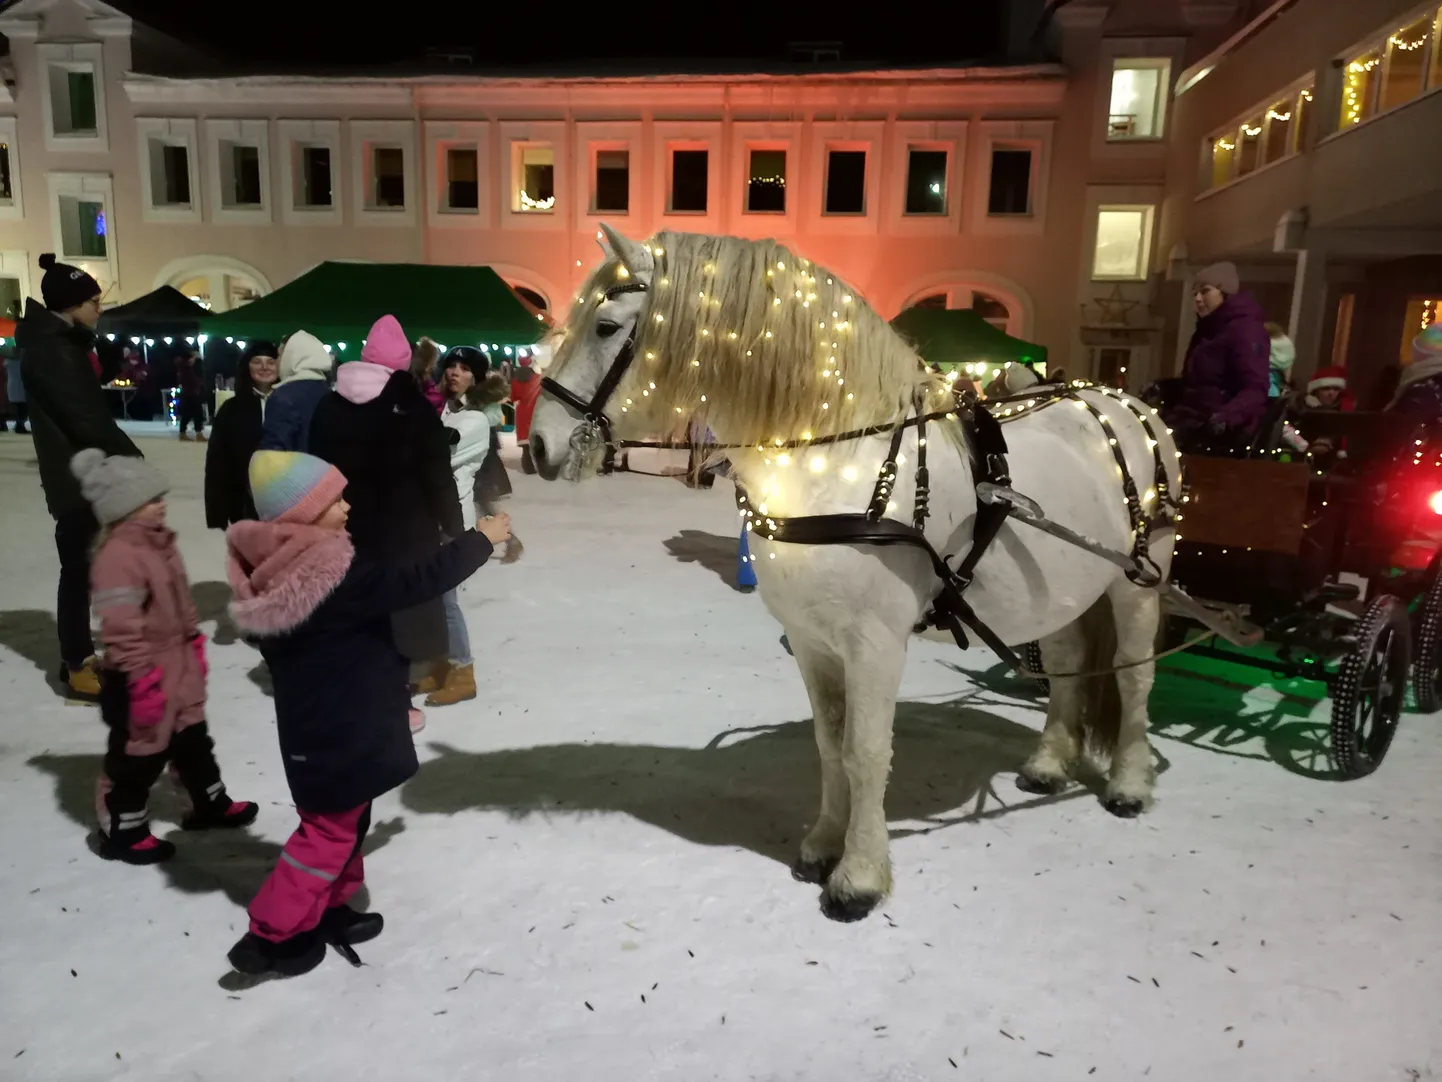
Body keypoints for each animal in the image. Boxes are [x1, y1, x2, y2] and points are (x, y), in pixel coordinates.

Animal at [536, 226, 1176, 923]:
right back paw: (1049, 763)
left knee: (1135, 678)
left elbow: (866, 752)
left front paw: (859, 876)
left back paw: (1130, 783)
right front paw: (823, 843)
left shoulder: (875, 643)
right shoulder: (812, 640)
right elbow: (829, 742)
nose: (538, 444)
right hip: (1061, 590)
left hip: (1137, 579)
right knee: (1064, 664)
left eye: (604, 326)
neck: (842, 459)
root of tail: (1118, 398)